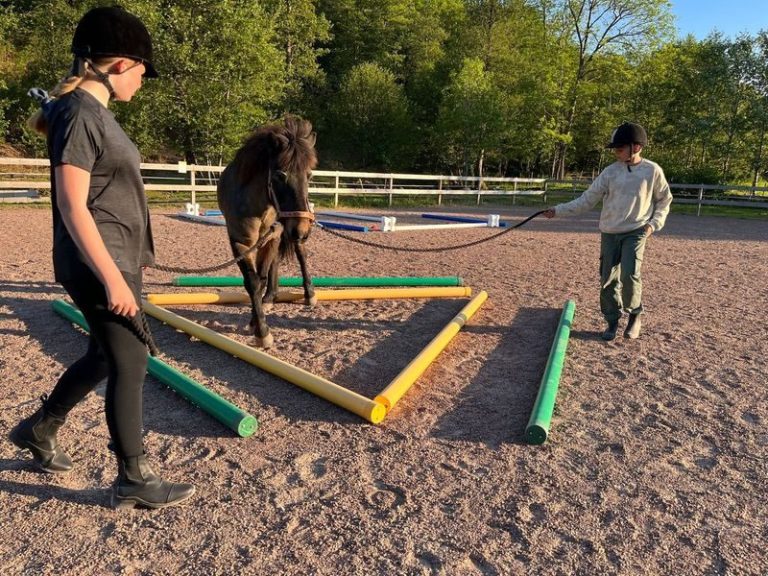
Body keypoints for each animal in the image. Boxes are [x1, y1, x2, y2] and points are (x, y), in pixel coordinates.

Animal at [217, 117, 318, 348]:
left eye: (309, 175)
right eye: (280, 175)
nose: (302, 229)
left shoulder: (273, 236)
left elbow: (260, 278)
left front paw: (258, 325)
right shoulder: (241, 244)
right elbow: (253, 281)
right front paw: (261, 328)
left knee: (301, 255)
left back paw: (308, 293)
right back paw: (270, 297)